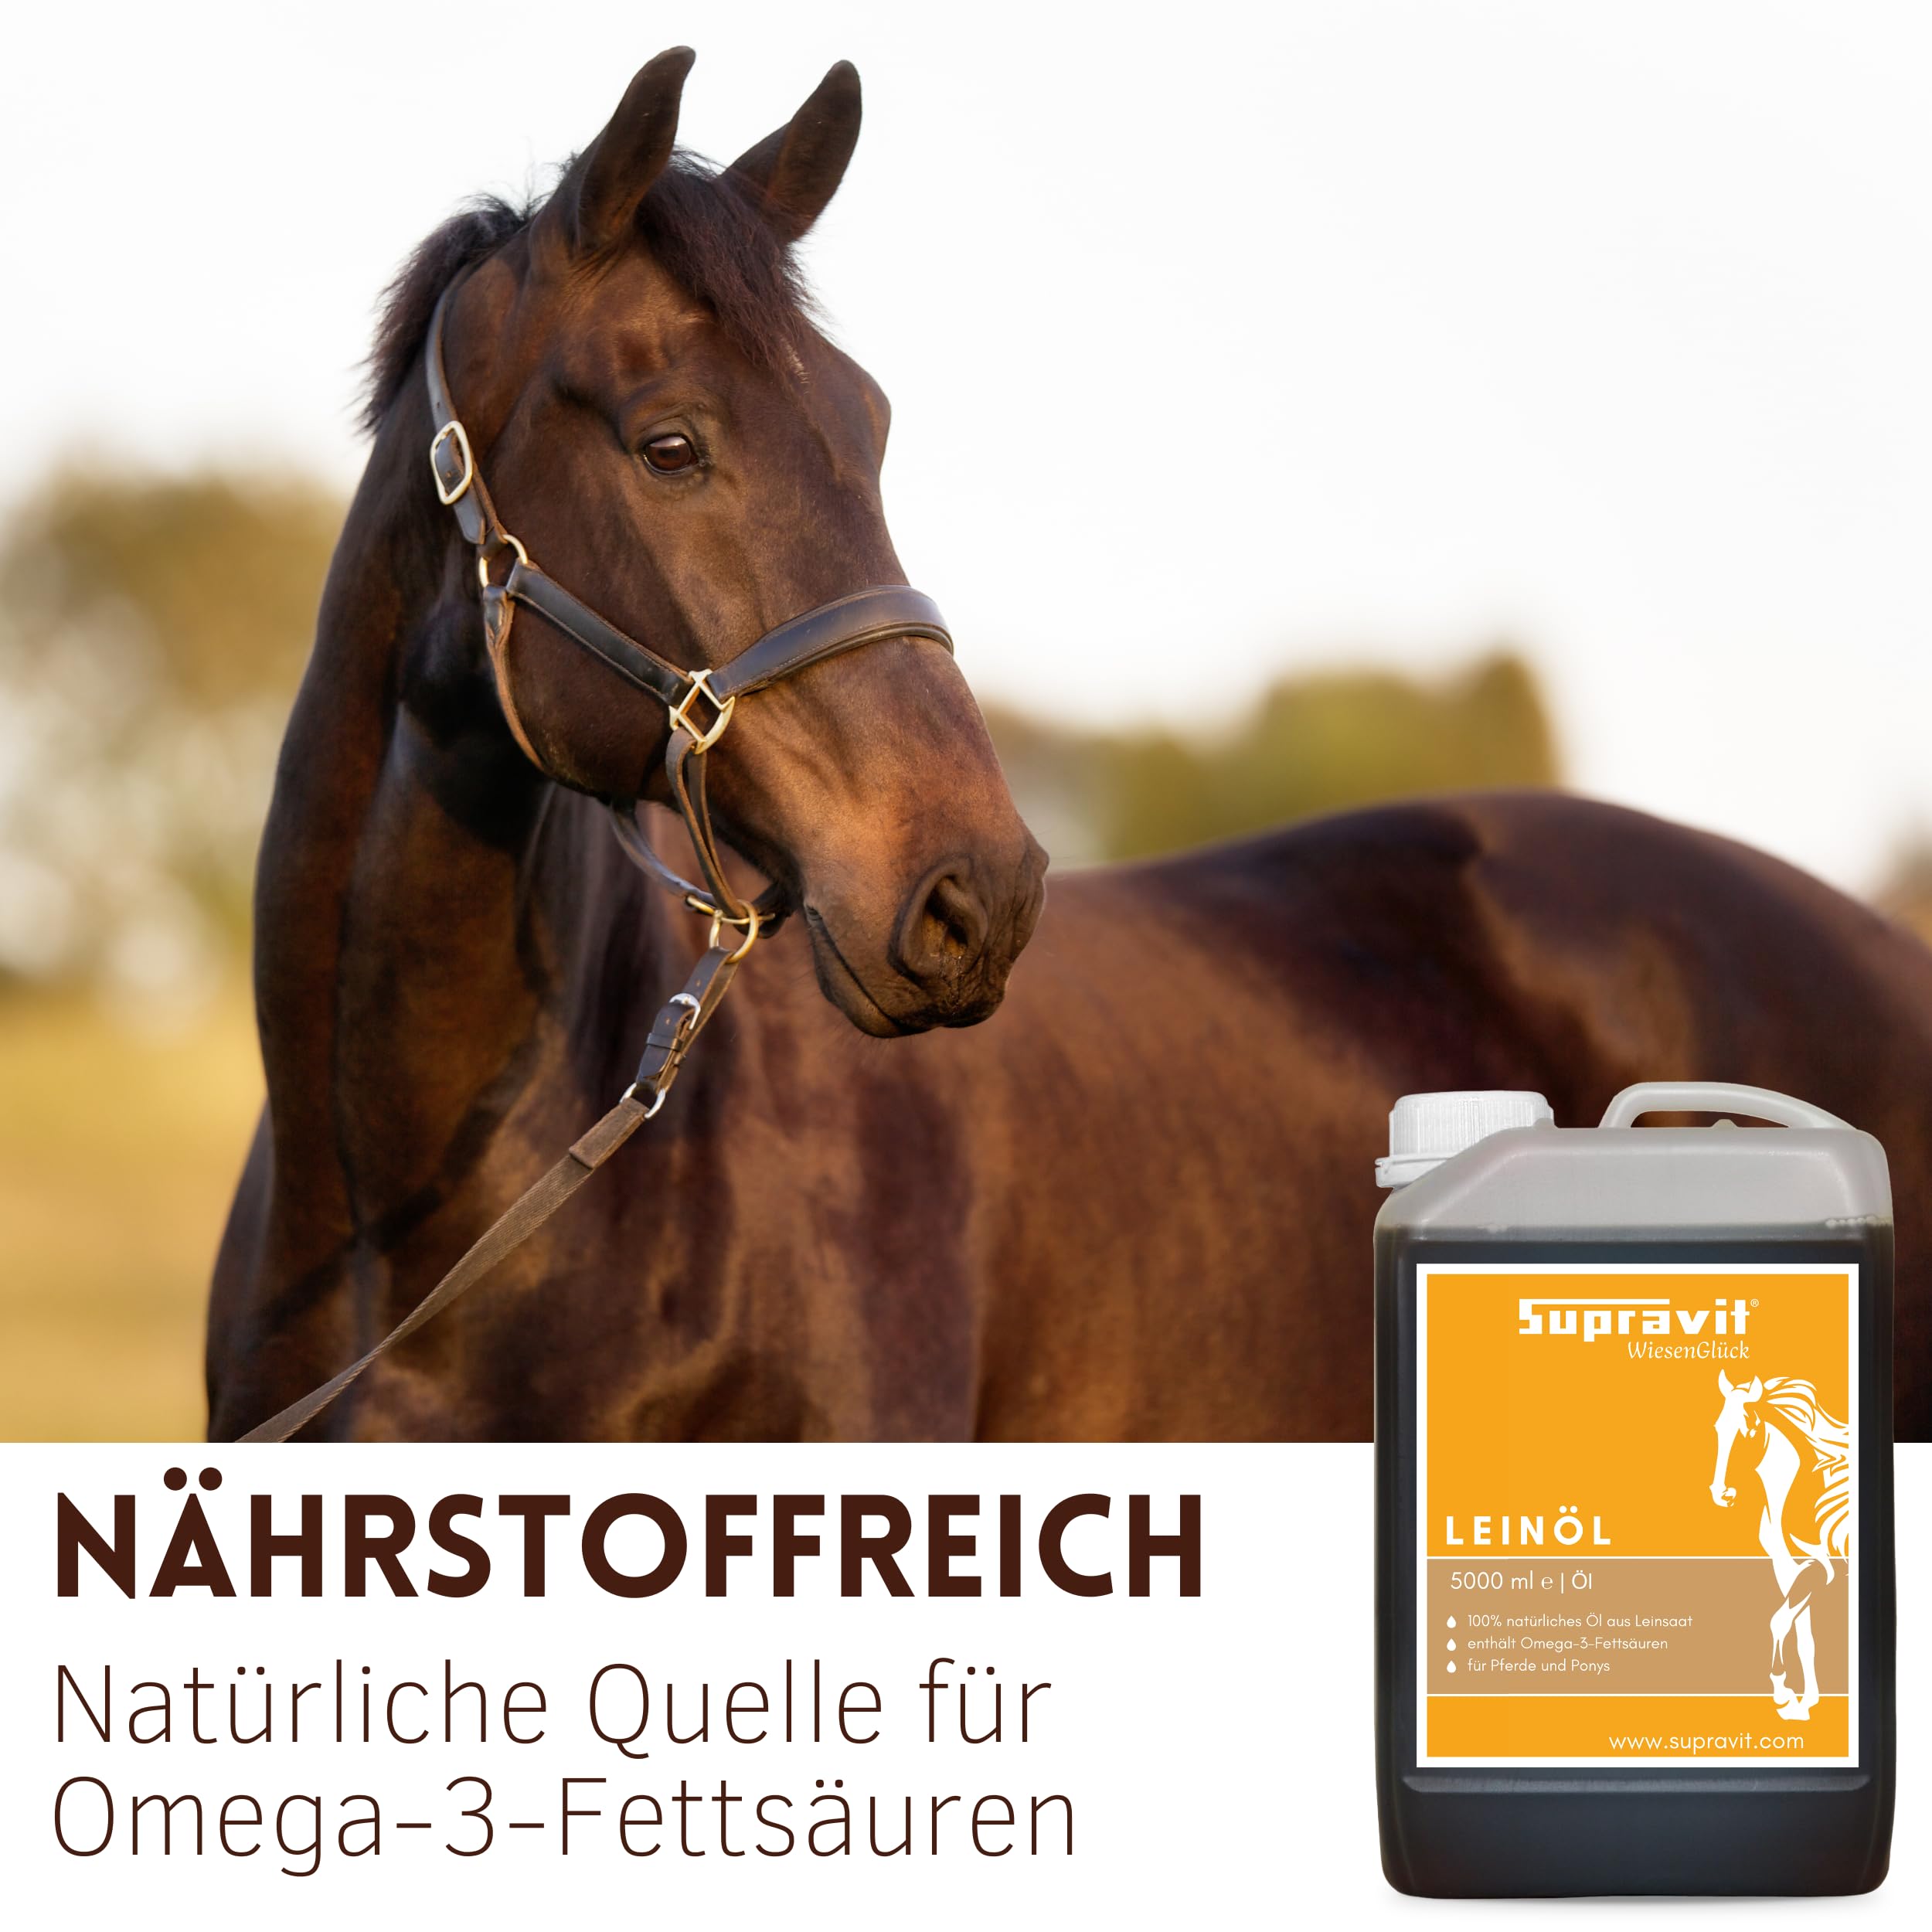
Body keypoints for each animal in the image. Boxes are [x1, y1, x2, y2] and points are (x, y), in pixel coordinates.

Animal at [1711, 1371, 1853, 1718]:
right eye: (1718, 1427)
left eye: (1749, 1429)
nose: (1722, 1494)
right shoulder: (1791, 1572)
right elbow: (1804, 1638)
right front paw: (1806, 1700)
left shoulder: (1820, 1570)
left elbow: (1778, 1622)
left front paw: (1783, 1691)